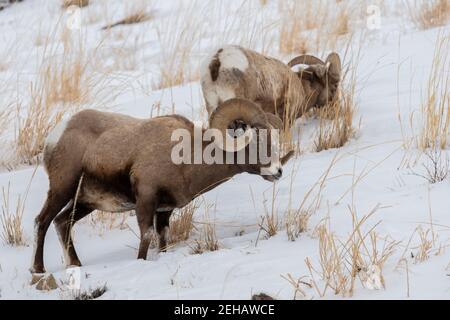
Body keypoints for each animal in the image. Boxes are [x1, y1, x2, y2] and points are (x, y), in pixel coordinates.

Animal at [29, 98, 294, 272]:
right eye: (255, 141)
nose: (277, 172)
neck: (186, 157)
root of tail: (56, 136)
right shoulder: (145, 201)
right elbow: (146, 236)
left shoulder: (165, 210)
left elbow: (162, 238)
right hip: (62, 190)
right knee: (43, 221)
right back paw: (38, 271)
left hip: (84, 202)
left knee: (62, 223)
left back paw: (76, 265)